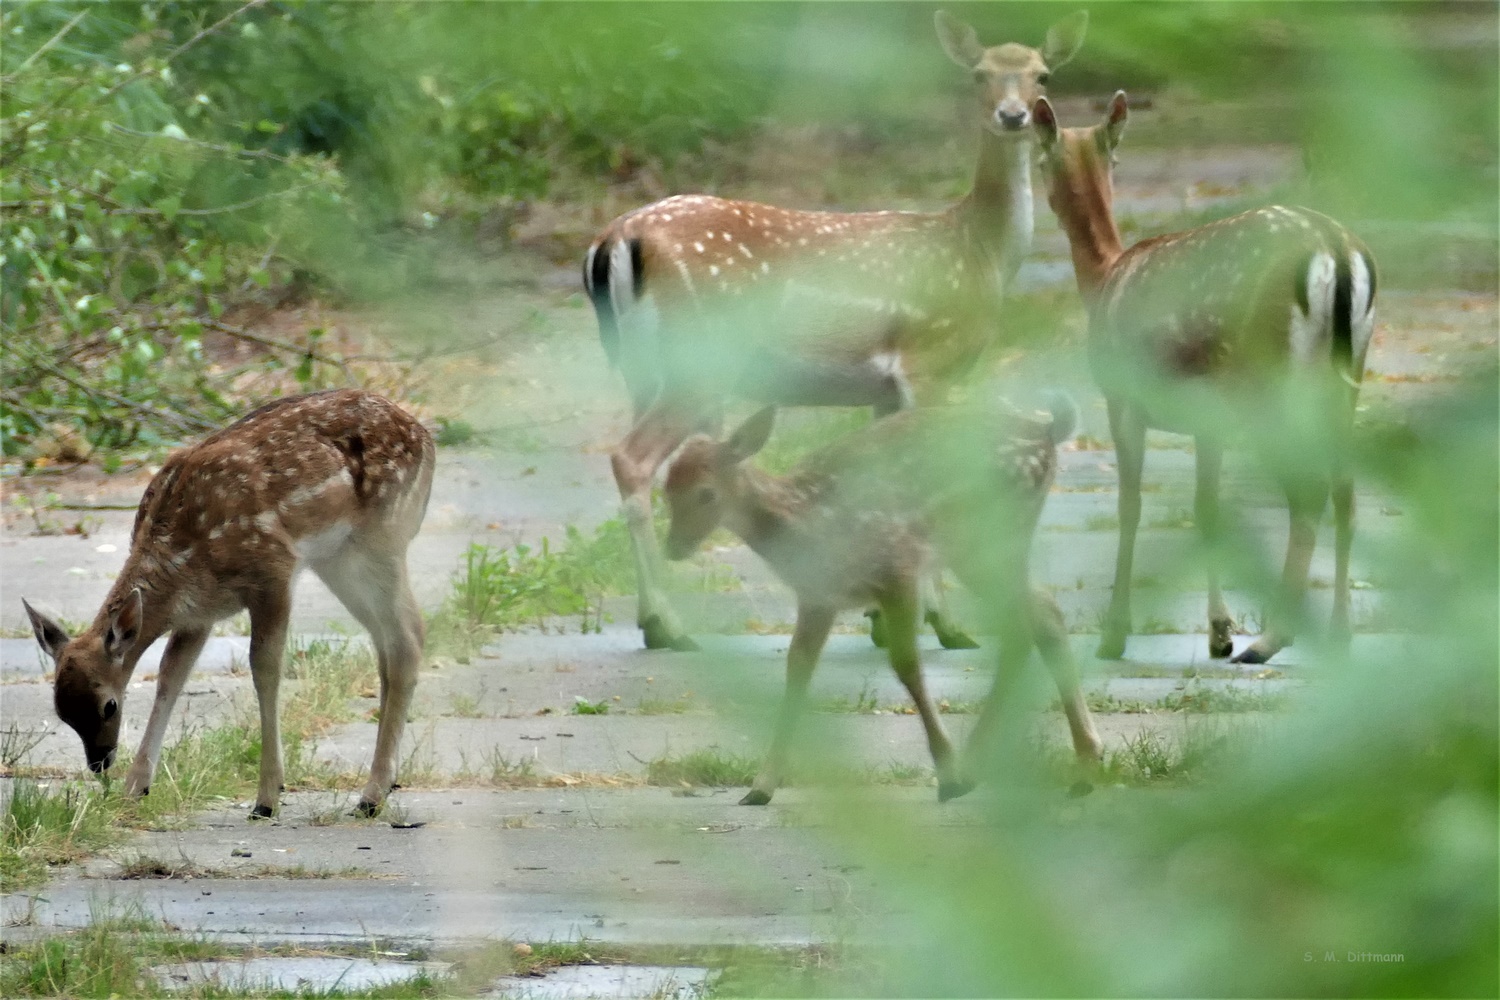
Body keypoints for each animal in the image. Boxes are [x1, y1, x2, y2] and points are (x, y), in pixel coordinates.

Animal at [21, 386, 435, 815]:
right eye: (61, 712)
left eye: (109, 706)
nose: (99, 762)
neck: (183, 561)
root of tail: (425, 435)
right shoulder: (197, 614)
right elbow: (171, 676)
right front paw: (136, 787)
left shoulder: (273, 570)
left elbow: (264, 669)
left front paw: (267, 797)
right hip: (340, 561)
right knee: (388, 642)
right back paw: (383, 785)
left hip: (382, 538)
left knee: (409, 635)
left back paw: (371, 795)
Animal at [585, 11, 1092, 653]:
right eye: (979, 73)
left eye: (1041, 73)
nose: (1013, 115)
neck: (978, 251)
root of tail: (614, 241)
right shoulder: (932, 359)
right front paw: (947, 625)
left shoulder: (884, 389)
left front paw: (884, 618)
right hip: (698, 363)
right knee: (630, 459)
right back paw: (665, 625)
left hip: (642, 371)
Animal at [663, 398, 1110, 803]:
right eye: (665, 489)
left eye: (706, 494)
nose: (672, 548)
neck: (805, 518)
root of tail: (1048, 433)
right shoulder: (818, 597)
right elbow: (797, 670)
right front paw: (761, 787)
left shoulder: (899, 569)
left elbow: (906, 664)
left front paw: (947, 774)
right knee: (1042, 614)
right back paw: (1077, 761)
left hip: (989, 539)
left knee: (1027, 621)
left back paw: (983, 766)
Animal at [1038, 93, 1374, 665]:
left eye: (1038, 161)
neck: (1103, 279)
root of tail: (1335, 250)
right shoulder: (1207, 419)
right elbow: (1207, 510)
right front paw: (1218, 632)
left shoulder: (1122, 399)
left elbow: (1131, 506)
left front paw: (1114, 634)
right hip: (1346, 376)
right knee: (1346, 491)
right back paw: (1339, 634)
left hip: (1271, 379)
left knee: (1308, 491)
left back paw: (1271, 640)